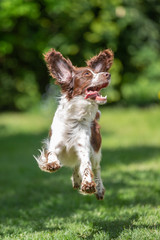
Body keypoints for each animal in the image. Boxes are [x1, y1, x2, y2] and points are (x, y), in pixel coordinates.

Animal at [34, 47, 114, 200]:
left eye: (97, 72)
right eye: (87, 74)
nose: (108, 74)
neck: (74, 119)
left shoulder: (84, 149)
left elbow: (87, 166)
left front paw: (88, 185)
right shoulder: (55, 144)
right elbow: (51, 155)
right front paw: (52, 164)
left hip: (96, 151)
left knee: (96, 168)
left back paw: (98, 189)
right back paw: (76, 180)